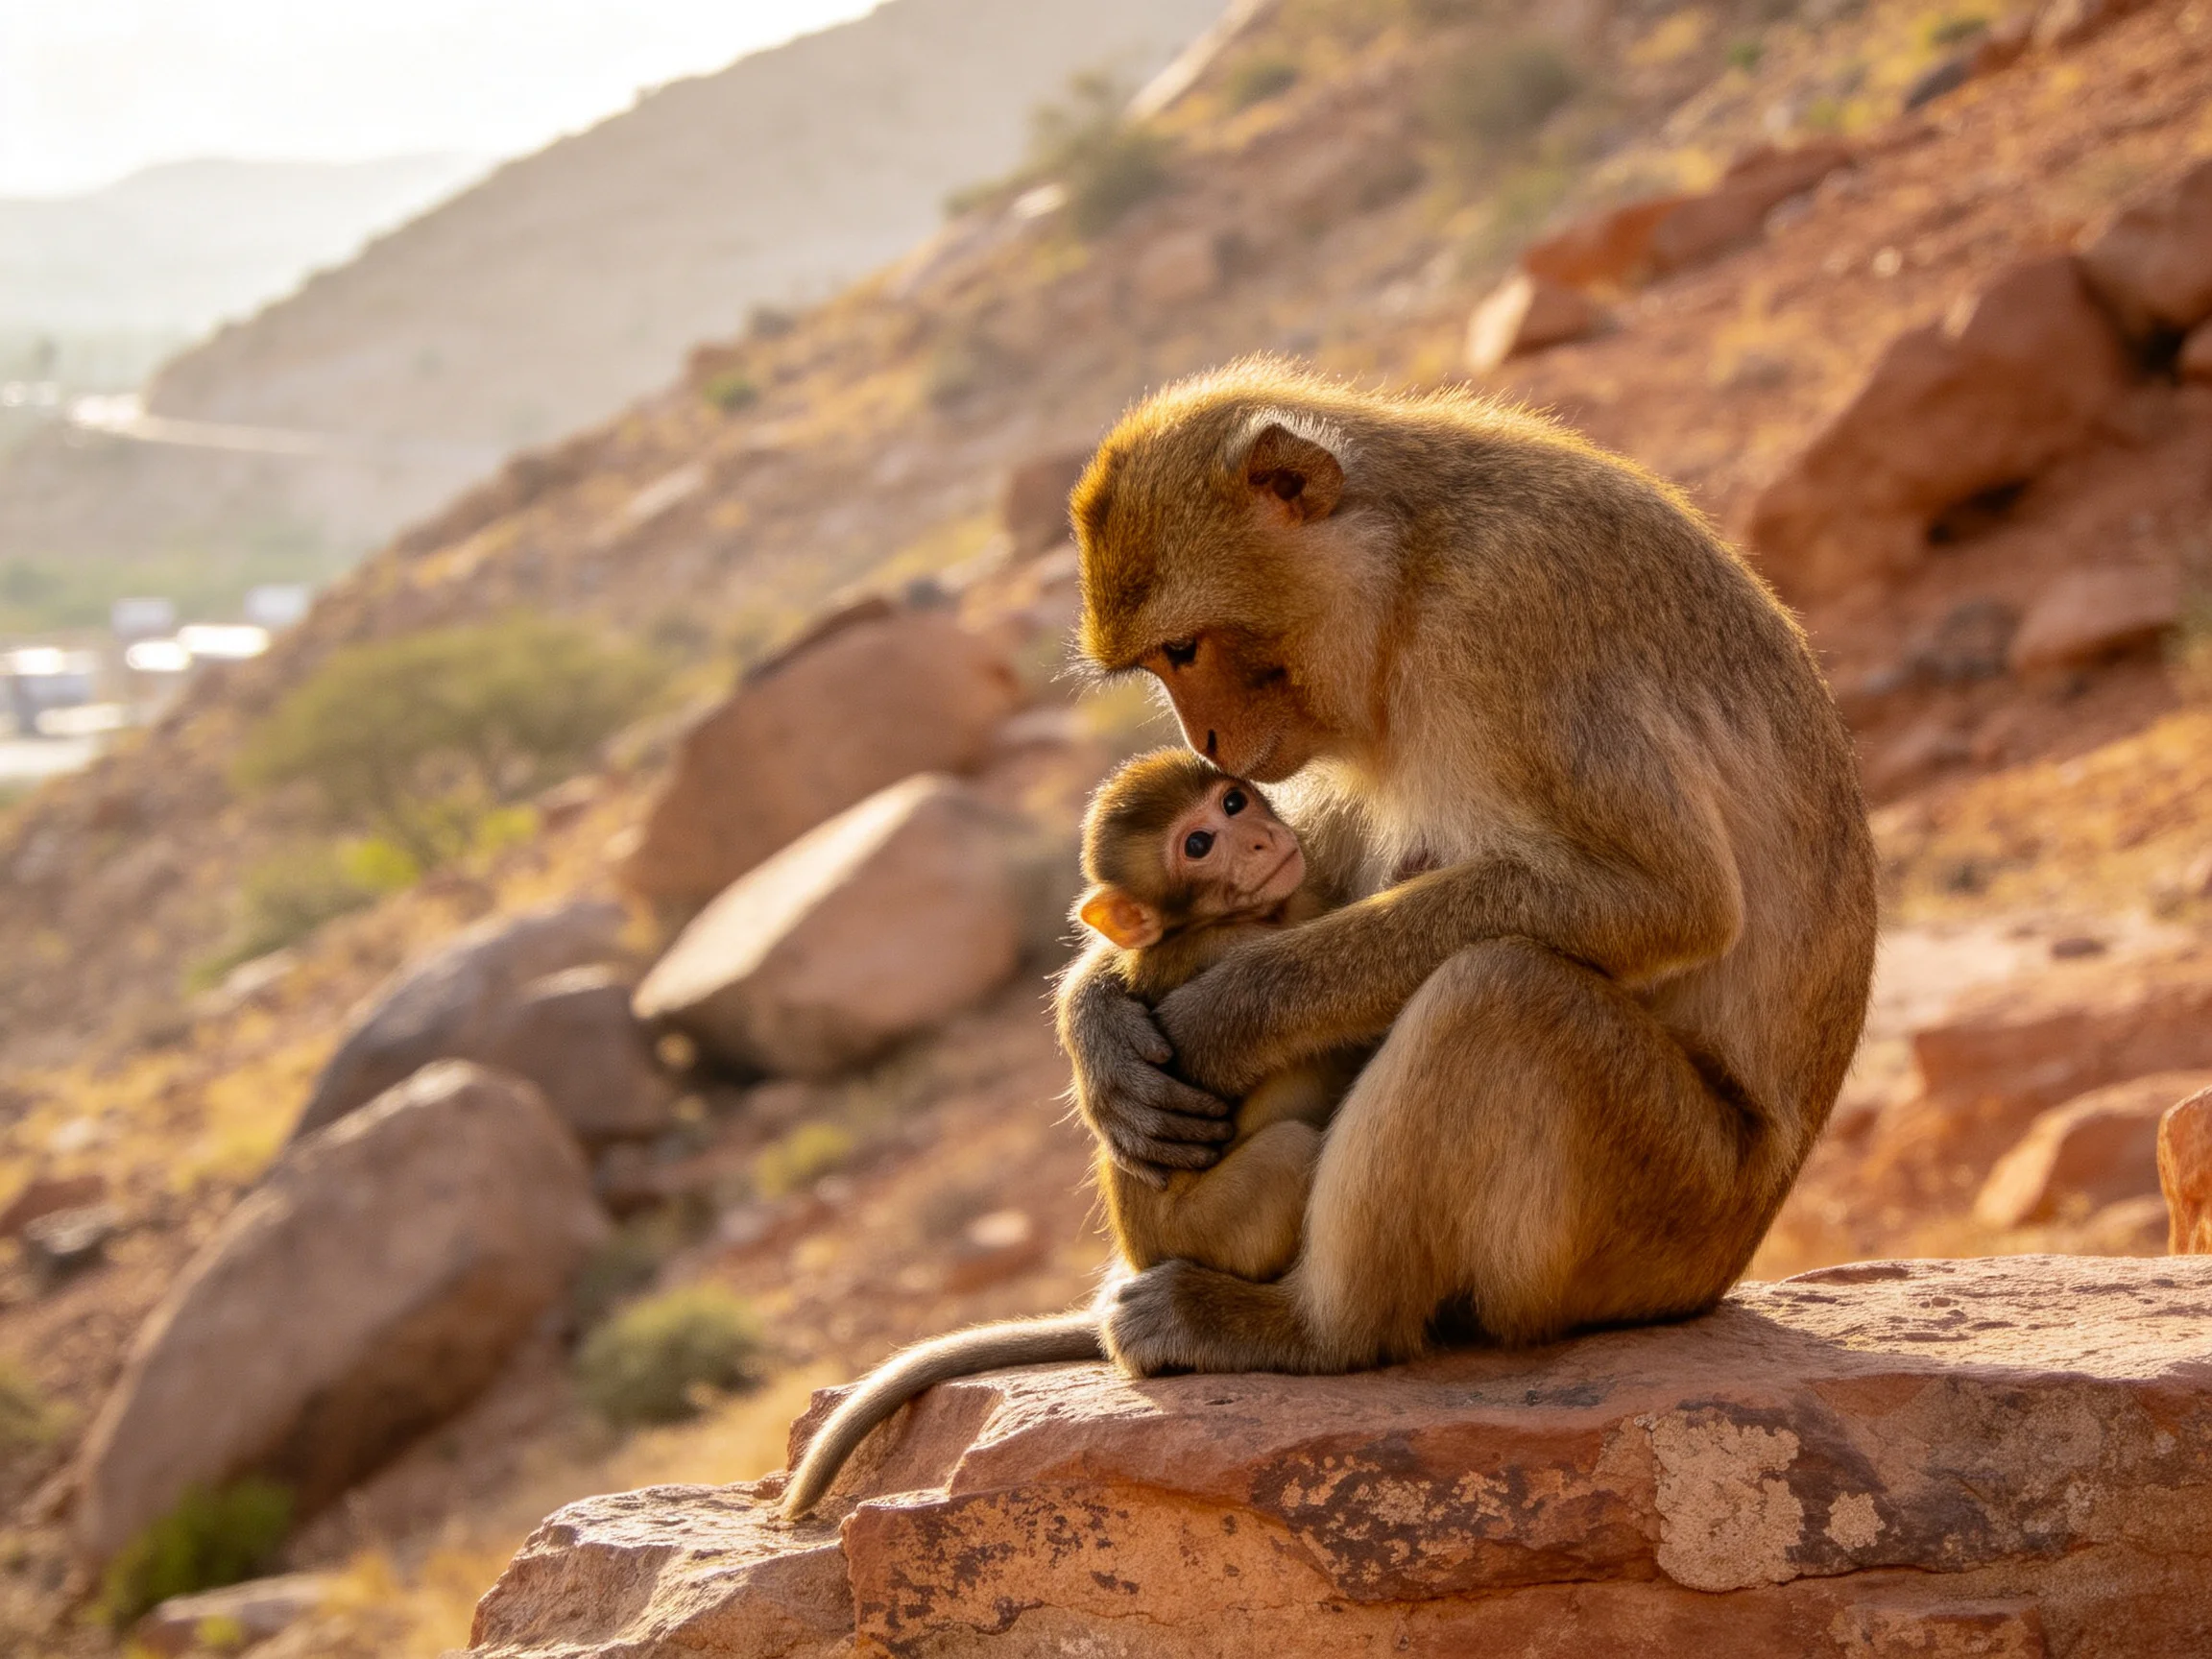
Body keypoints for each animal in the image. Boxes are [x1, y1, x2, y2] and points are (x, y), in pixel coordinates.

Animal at [779, 749, 1359, 1519]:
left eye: (1233, 803)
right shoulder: (1240, 941)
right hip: (1209, 1227)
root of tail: (1141, 1254)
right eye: (1198, 845)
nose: (1263, 841)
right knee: (1289, 1154)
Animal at [1054, 355, 1879, 1379]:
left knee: (1497, 997)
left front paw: (1227, 1018)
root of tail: (1731, 1255)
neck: (1410, 567)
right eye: (1161, 664)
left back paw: (1308, 1328)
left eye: (1182, 647)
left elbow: (1668, 900)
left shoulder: (1506, 621)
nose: (1203, 739)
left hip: (1665, 1217)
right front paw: (1099, 1022)